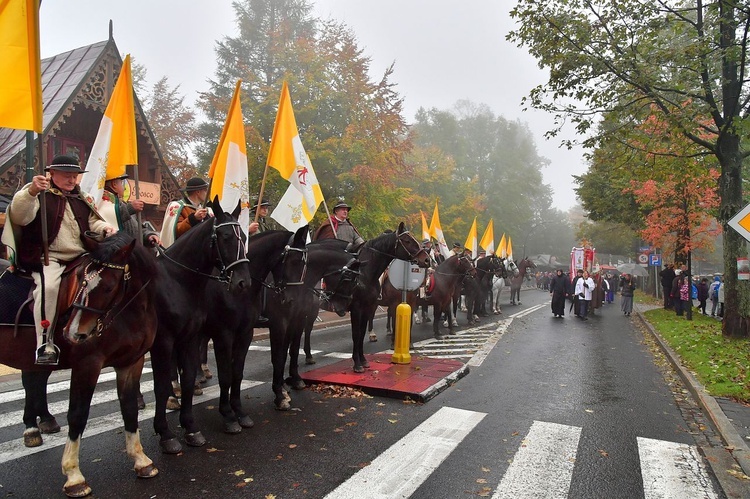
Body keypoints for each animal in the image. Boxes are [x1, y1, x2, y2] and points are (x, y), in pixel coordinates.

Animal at [0, 232, 159, 498]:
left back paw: (37, 426)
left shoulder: (131, 363)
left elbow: (129, 408)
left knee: (33, 381)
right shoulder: (88, 364)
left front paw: (141, 461)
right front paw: (74, 476)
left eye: (108, 287)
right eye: (80, 281)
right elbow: (77, 414)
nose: (74, 333)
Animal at [151, 198, 254, 454]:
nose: (243, 283)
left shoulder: (236, 334)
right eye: (225, 236)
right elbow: (162, 385)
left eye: (243, 237)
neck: (176, 280)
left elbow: (226, 374)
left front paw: (192, 428)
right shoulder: (168, 341)